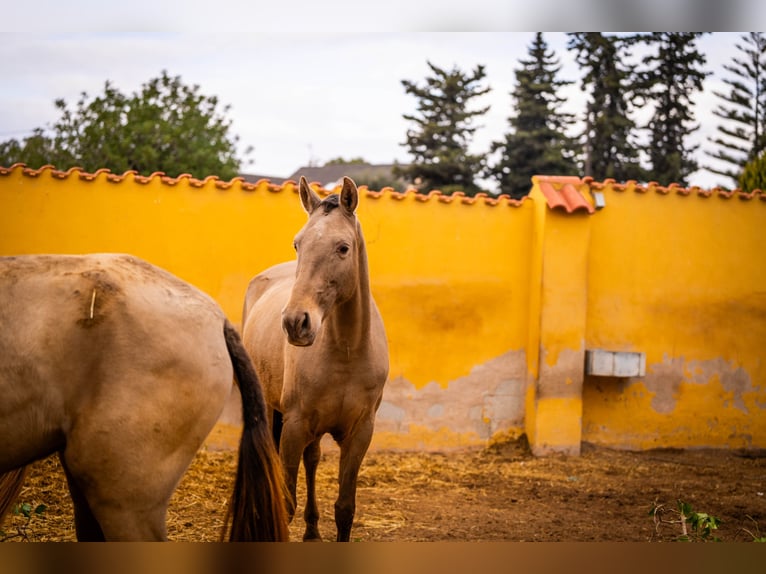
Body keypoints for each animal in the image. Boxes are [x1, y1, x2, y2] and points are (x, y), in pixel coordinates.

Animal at [243, 177, 390, 544]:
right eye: (298, 244)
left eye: (343, 248)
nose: (296, 322)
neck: (347, 352)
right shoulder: (294, 427)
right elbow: (286, 503)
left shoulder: (360, 432)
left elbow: (345, 508)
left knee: (313, 460)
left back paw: (311, 530)